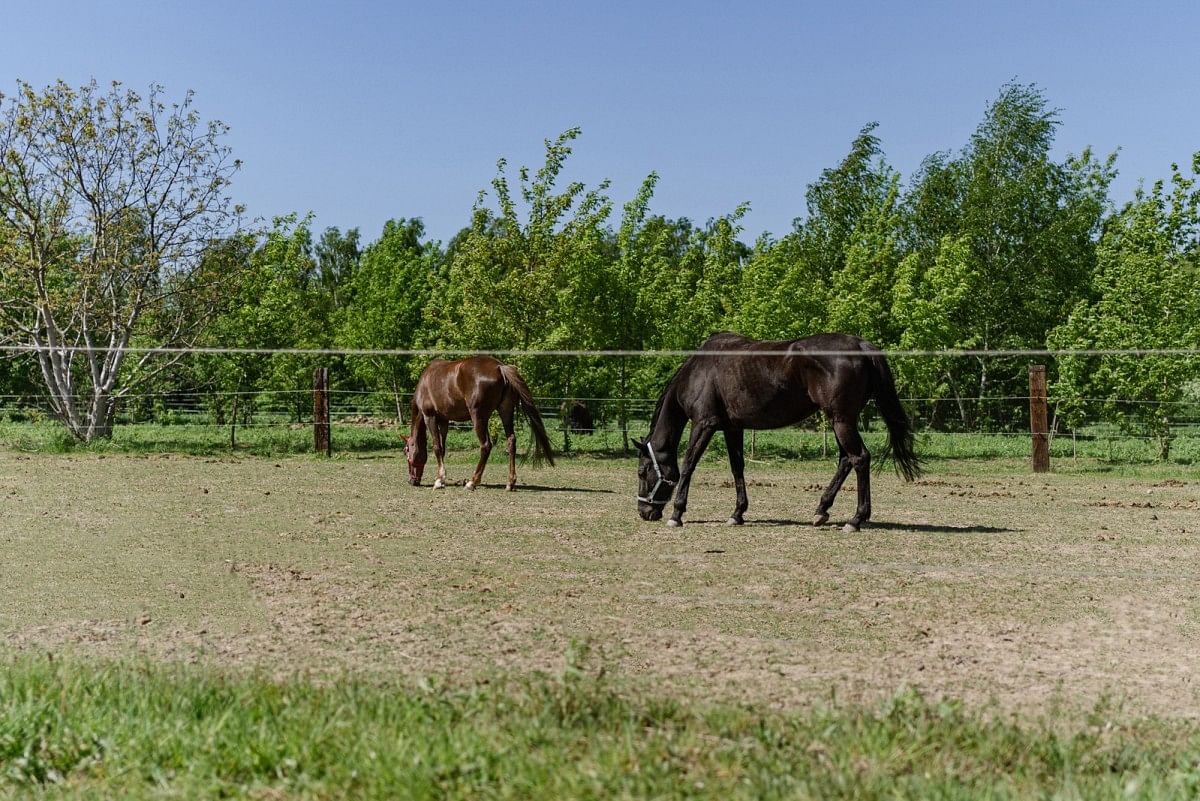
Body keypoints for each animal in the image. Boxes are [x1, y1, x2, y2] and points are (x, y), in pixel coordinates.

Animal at [400, 354, 554, 489]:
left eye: (406, 450)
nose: (412, 481)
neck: (425, 382)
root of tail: (500, 367)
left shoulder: (430, 417)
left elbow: (437, 447)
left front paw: (439, 481)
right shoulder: (444, 421)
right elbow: (443, 448)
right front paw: (442, 478)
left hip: (478, 417)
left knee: (485, 445)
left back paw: (473, 482)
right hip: (503, 413)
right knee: (511, 441)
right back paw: (510, 482)